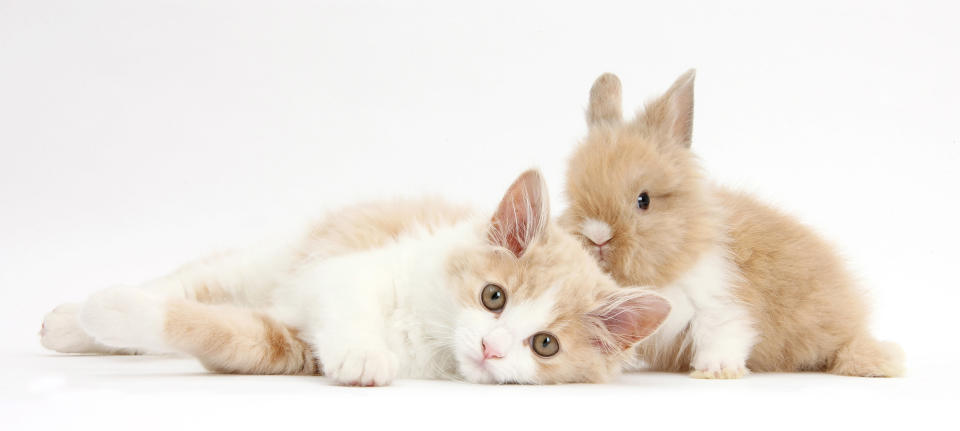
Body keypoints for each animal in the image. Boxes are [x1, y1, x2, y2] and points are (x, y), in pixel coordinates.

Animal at [41, 170, 672, 386]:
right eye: (494, 296)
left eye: (544, 345)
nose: (492, 349)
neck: (428, 339)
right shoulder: (348, 271)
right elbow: (348, 301)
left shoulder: (283, 347)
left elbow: (219, 331)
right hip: (273, 258)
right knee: (190, 283)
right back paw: (67, 321)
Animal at [560, 72, 904, 380]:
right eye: (573, 197)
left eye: (643, 200)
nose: (597, 237)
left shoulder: (720, 302)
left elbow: (721, 333)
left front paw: (717, 371)